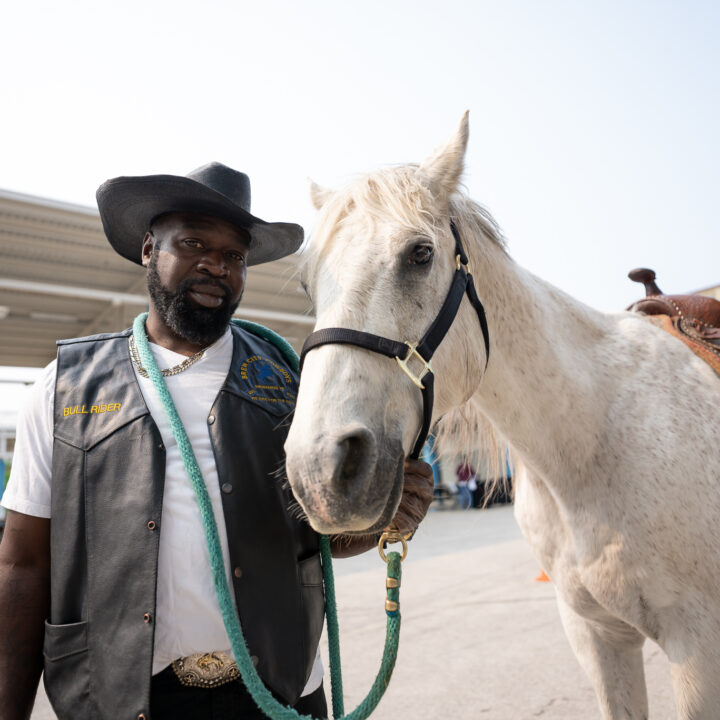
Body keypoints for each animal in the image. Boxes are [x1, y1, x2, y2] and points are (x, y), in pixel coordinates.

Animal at [284, 115, 720, 716]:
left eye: (420, 254)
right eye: (309, 283)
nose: (320, 470)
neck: (591, 444)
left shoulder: (698, 653)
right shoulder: (598, 637)